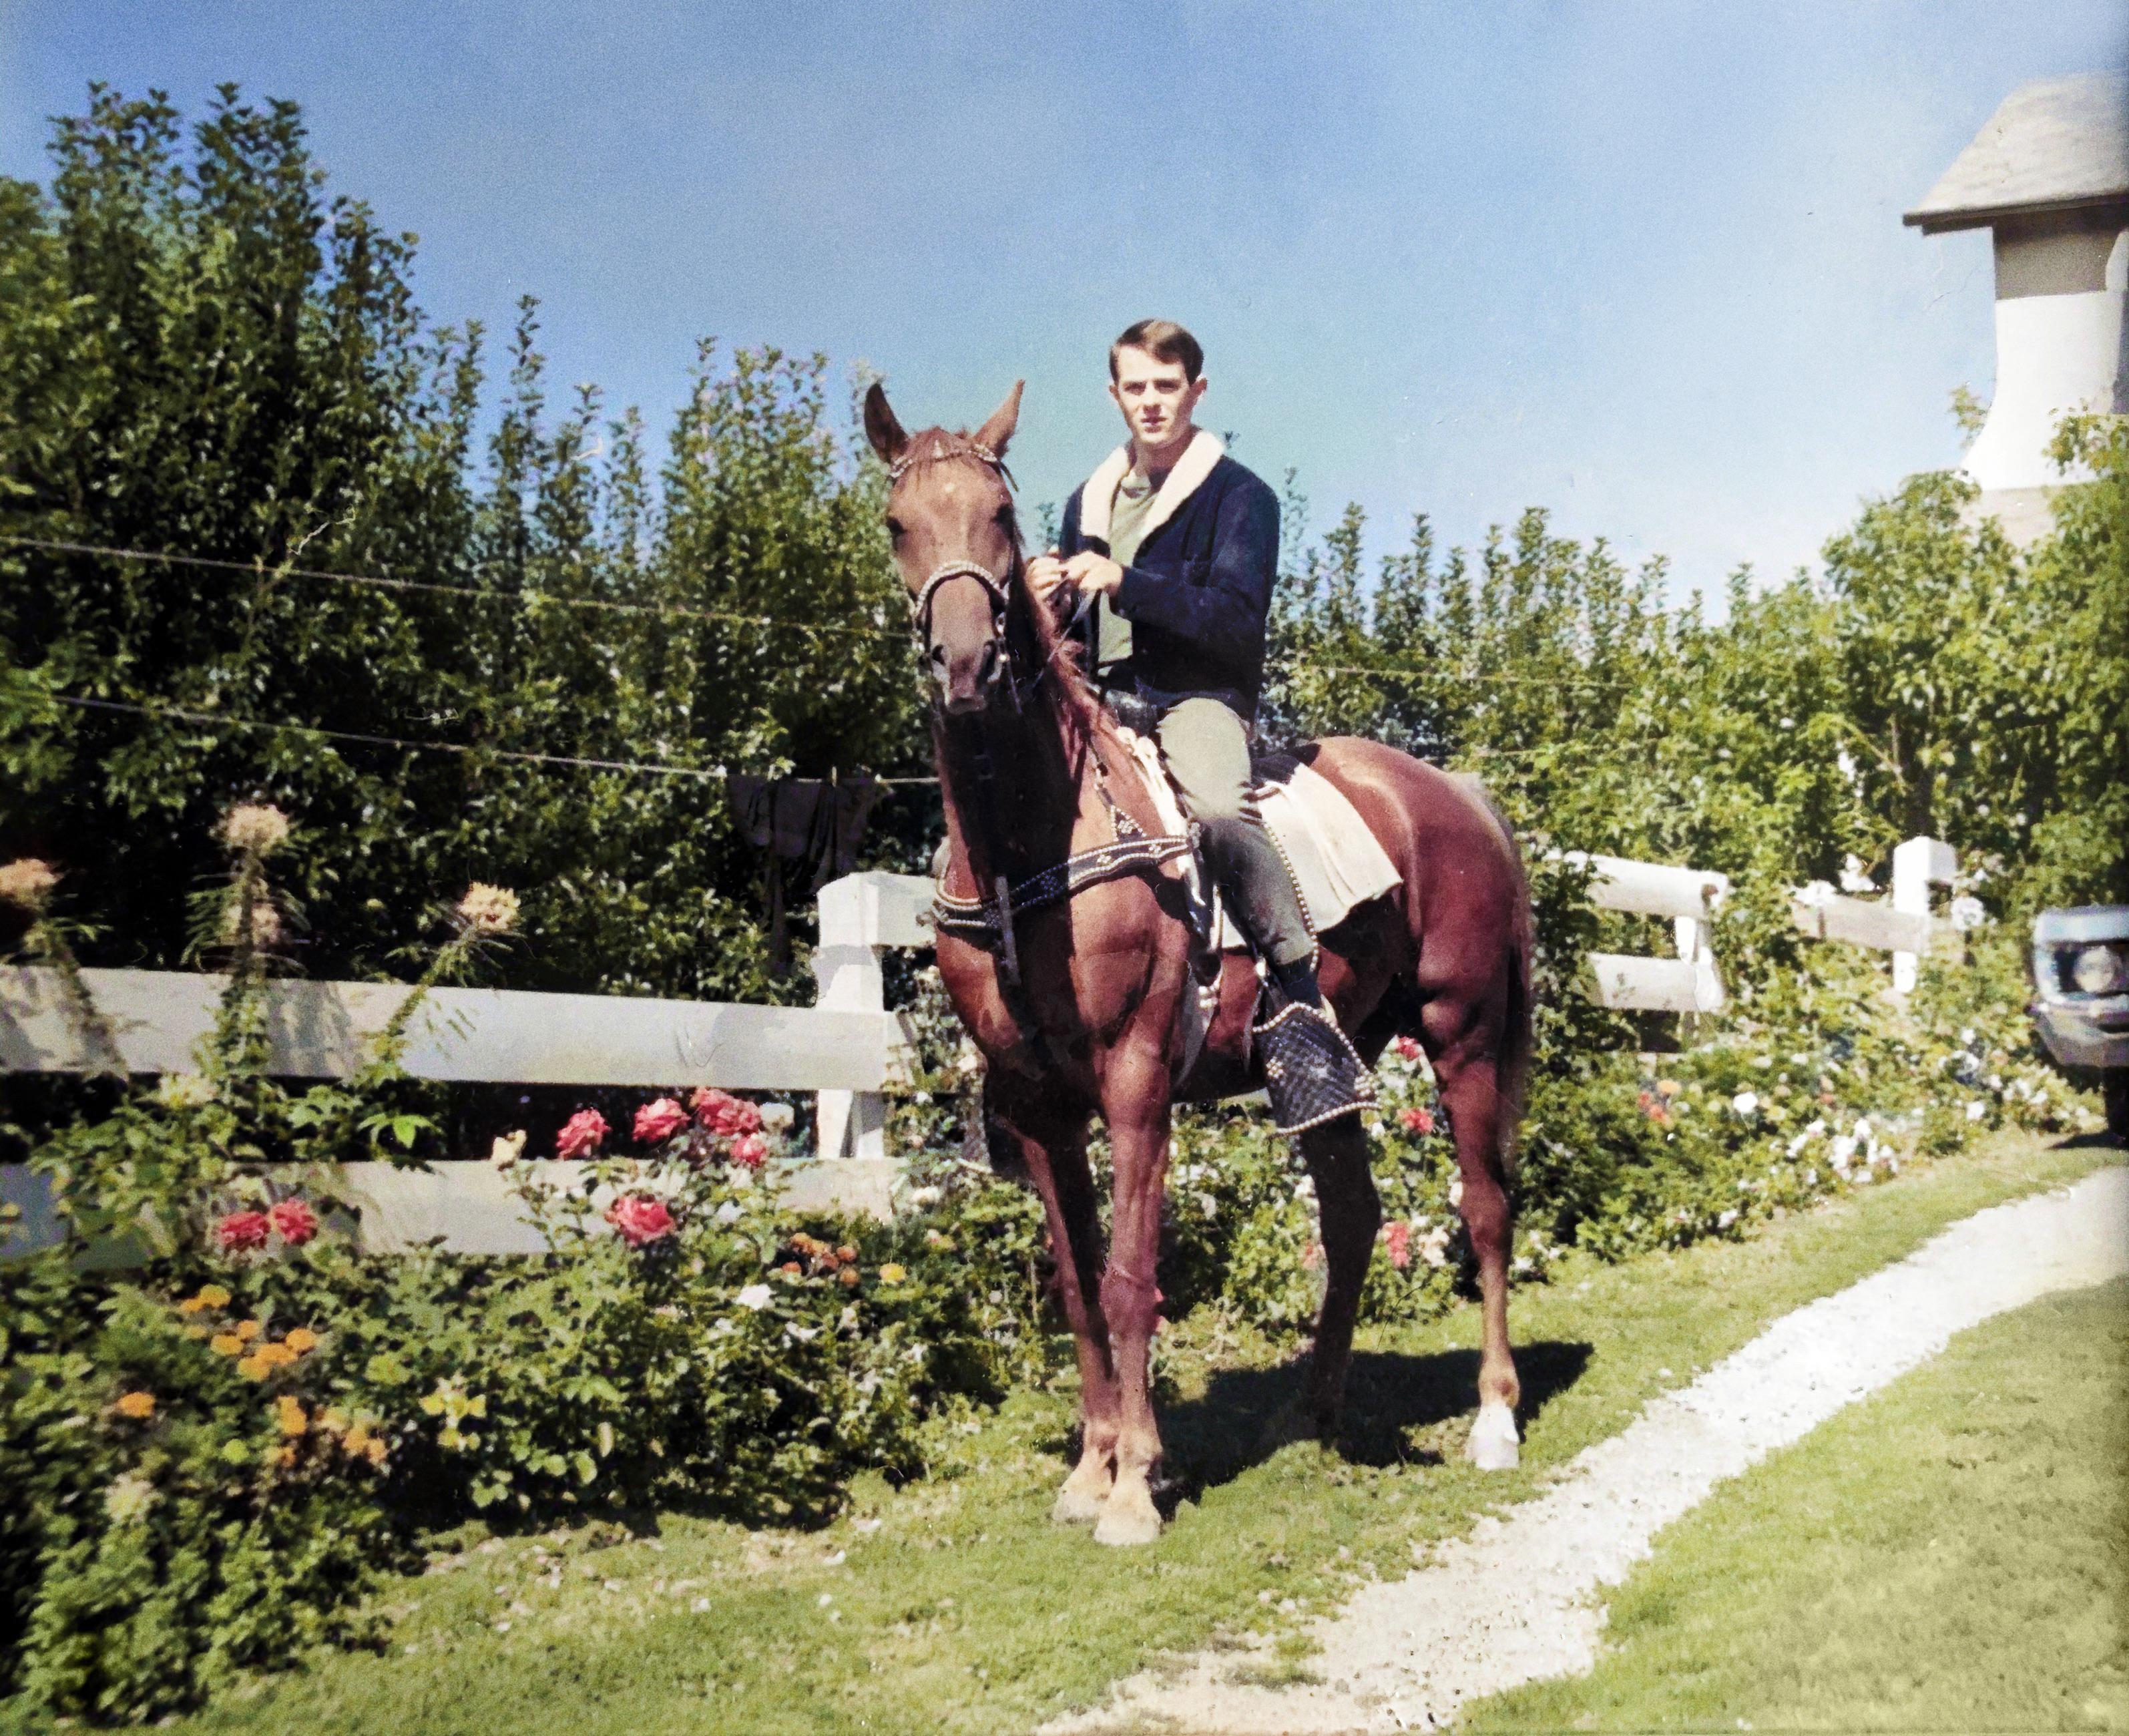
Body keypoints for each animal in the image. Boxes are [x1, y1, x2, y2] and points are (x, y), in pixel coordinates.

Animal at [865, 380, 1534, 1546]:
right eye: (901, 525)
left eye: (999, 518)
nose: (967, 667)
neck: (1034, 846)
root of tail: (1456, 794)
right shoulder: (1039, 1105)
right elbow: (1078, 1285)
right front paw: (1090, 1469)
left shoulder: (1135, 1082)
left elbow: (1132, 1278)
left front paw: (1135, 1485)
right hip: (1333, 1068)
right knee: (1353, 1221)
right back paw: (1308, 1415)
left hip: (1464, 1035)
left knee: (1485, 1206)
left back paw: (1493, 1417)